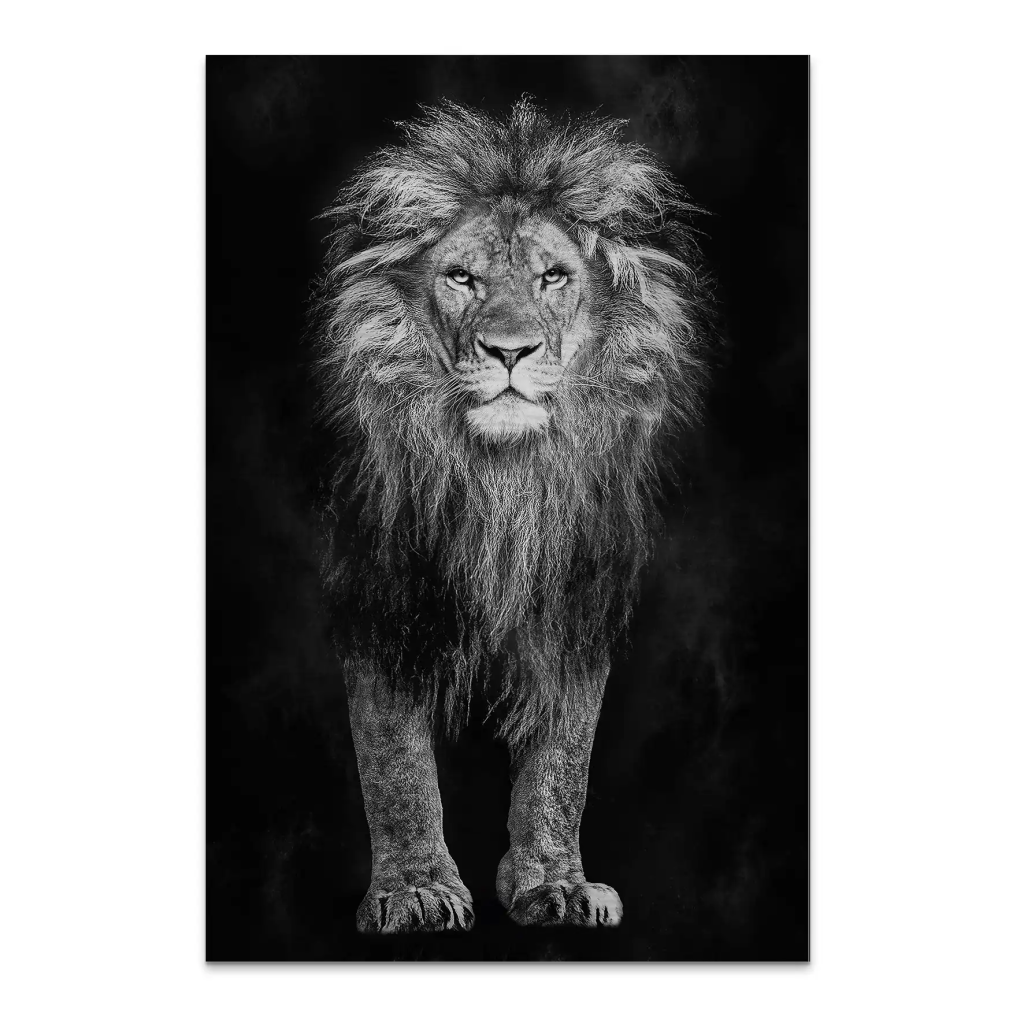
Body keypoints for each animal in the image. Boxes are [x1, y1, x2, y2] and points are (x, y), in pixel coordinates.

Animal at [313, 99, 713, 933]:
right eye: (462, 278)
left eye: (552, 277)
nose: (508, 351)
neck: (504, 480)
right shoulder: (380, 588)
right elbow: (394, 759)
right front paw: (416, 890)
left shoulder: (576, 596)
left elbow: (563, 764)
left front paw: (554, 885)